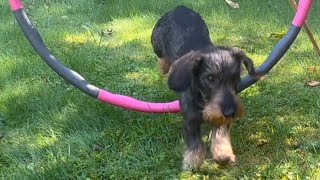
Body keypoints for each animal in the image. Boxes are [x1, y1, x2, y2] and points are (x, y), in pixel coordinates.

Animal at [151, 5, 258, 169]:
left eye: (235, 78)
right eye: (210, 78)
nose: (230, 112)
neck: (204, 102)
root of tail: (180, 8)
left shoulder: (221, 119)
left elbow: (220, 134)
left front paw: (223, 154)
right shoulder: (190, 120)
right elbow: (194, 141)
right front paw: (193, 161)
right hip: (156, 43)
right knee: (162, 58)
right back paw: (164, 67)